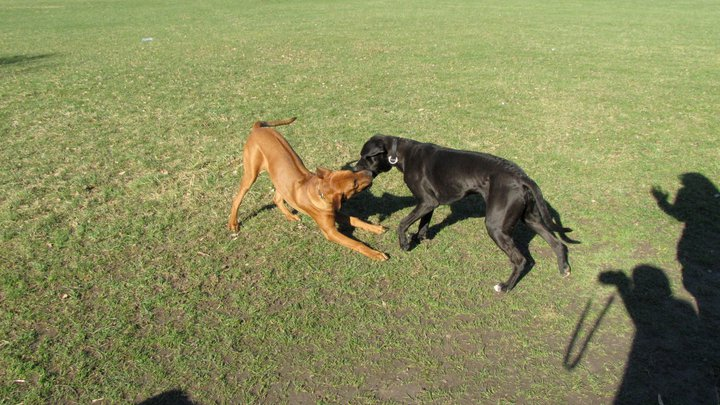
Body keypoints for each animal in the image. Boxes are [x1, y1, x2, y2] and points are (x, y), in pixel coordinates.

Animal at [229, 117, 388, 258]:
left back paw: (290, 215)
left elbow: (355, 219)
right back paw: (233, 223)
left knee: (277, 198)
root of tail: (257, 128)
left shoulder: (334, 213)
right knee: (237, 198)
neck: (320, 193)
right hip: (250, 174)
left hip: (280, 178)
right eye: (354, 184)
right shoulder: (330, 232)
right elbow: (356, 243)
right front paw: (375, 253)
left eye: (351, 173)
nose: (370, 173)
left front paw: (375, 227)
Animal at [356, 135, 572, 290]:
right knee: (558, 244)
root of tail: (521, 177)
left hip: (496, 226)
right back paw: (564, 269)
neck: (401, 153)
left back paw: (505, 287)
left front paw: (405, 244)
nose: (355, 168)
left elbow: (403, 223)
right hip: (530, 218)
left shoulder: (427, 202)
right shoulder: (429, 204)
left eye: (366, 157)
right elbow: (423, 224)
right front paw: (420, 238)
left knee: (521, 260)